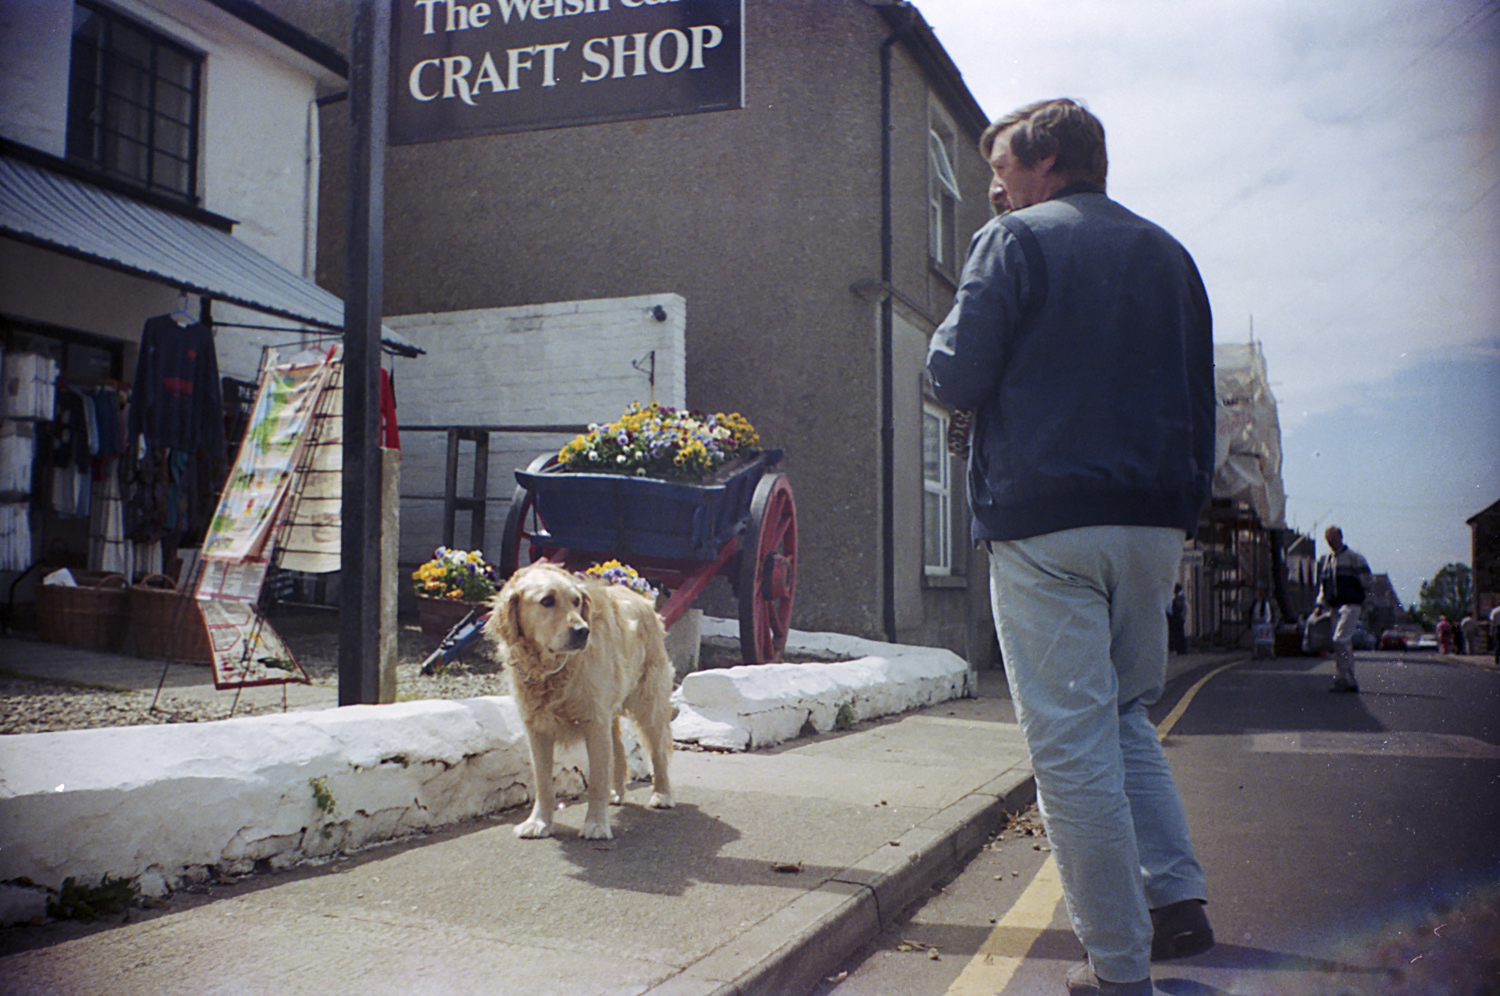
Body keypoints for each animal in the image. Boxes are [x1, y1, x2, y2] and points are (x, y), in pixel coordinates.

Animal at [486, 564, 675, 834]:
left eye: (576, 601)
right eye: (547, 601)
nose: (583, 631)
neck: (550, 670)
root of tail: (646, 602)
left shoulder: (594, 721)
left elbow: (596, 780)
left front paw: (595, 824)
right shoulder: (538, 729)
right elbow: (543, 782)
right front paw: (538, 822)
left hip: (649, 702)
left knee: (658, 751)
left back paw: (662, 794)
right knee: (619, 750)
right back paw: (616, 792)